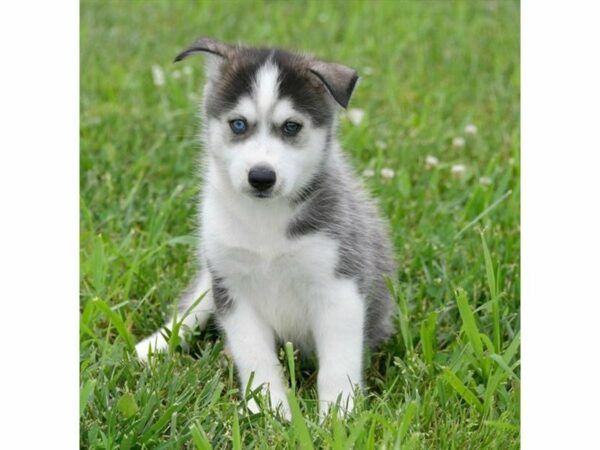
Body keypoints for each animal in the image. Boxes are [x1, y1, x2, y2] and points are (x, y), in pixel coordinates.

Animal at [138, 37, 396, 418]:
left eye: (291, 127)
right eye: (238, 124)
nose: (261, 177)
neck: (265, 222)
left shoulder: (339, 285)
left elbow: (338, 363)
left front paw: (338, 414)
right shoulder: (231, 289)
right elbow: (256, 357)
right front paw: (270, 409)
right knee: (192, 306)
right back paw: (153, 346)